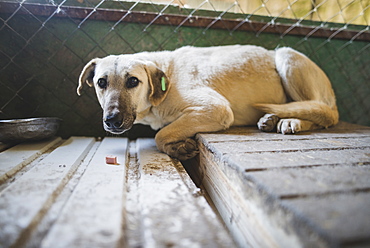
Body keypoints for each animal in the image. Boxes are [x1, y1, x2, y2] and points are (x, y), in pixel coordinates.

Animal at [77, 44, 338, 160]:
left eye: (133, 81)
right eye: (101, 82)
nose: (112, 120)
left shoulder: (216, 109)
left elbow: (161, 135)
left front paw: (177, 147)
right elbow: (163, 132)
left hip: (286, 56)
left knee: (323, 112)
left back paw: (292, 121)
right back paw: (272, 119)